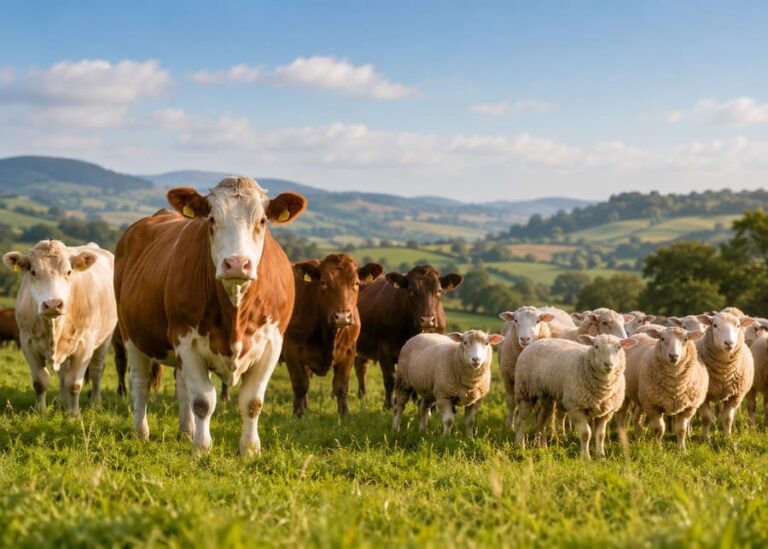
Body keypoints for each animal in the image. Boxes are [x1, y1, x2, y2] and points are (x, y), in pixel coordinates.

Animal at [3, 241, 117, 415]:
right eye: (33, 271)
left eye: (68, 271)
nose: (52, 304)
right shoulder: (27, 342)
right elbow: (40, 381)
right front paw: (41, 412)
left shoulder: (85, 344)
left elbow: (74, 383)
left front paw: (74, 414)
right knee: (63, 373)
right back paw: (63, 401)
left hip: (105, 339)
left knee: (97, 369)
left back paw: (95, 402)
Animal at [114, 176, 306, 456]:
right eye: (212, 219)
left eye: (262, 221)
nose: (236, 264)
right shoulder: (187, 341)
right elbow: (203, 401)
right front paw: (202, 448)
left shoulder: (272, 343)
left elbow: (253, 402)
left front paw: (250, 450)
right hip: (132, 335)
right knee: (140, 383)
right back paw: (140, 432)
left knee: (181, 386)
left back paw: (186, 431)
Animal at [283, 254, 383, 417]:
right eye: (323, 283)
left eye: (356, 283)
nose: (342, 317)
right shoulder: (291, 349)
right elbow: (300, 384)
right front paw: (298, 414)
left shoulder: (349, 351)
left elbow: (341, 386)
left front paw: (345, 414)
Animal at [354, 265, 463, 408]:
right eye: (411, 290)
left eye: (439, 291)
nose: (427, 320)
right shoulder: (384, 350)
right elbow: (390, 380)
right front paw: (389, 405)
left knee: (361, 366)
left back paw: (363, 396)